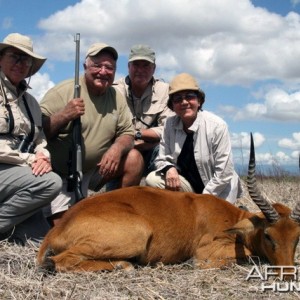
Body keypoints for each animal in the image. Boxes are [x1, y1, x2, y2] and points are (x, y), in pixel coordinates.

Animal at [37, 133, 300, 272]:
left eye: (296, 238)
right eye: (268, 235)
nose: (287, 272)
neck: (234, 220)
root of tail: (59, 227)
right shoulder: (205, 254)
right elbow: (249, 254)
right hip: (135, 235)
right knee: (56, 261)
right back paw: (124, 265)